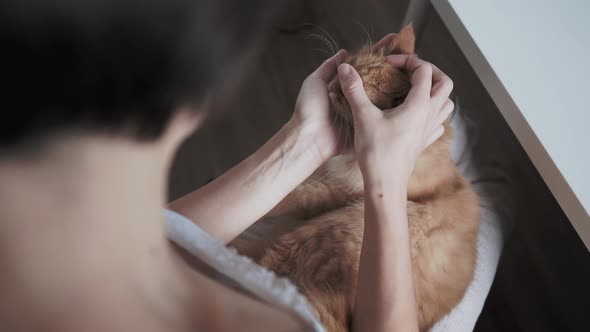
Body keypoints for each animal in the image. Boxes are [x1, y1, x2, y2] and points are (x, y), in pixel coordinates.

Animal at [231, 26, 480, 332]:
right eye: (348, 66)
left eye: (350, 94)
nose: (334, 84)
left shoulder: (331, 191)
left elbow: (290, 196)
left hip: (327, 229)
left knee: (264, 260)